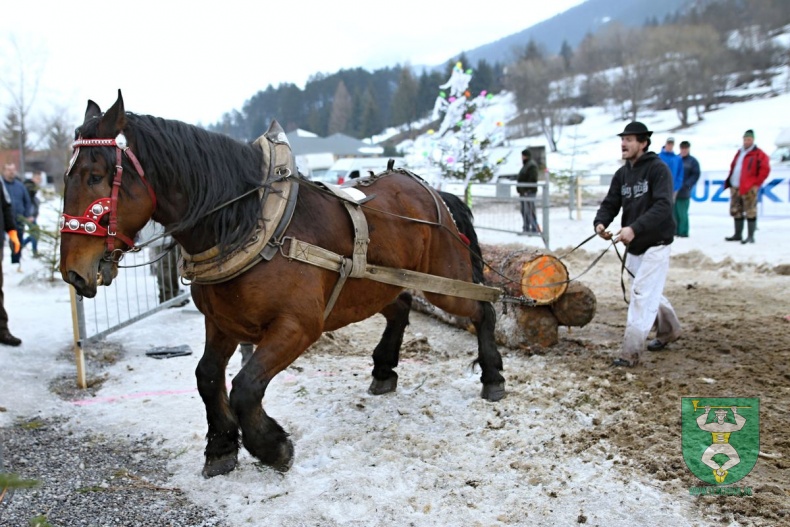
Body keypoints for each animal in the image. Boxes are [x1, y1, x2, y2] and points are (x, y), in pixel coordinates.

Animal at [62, 92, 508, 478]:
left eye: (96, 176)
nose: (72, 272)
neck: (249, 221)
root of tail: (436, 192)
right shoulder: (222, 322)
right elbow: (207, 376)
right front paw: (221, 448)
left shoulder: (298, 326)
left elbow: (245, 386)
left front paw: (272, 446)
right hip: (374, 286)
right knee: (399, 308)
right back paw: (384, 370)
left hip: (444, 283)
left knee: (482, 308)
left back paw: (493, 377)